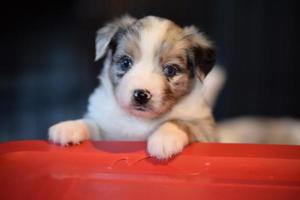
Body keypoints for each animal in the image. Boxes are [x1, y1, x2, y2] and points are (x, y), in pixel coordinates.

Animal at [49, 15, 218, 159]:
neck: (138, 120)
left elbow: (182, 123)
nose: (141, 95)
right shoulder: (109, 134)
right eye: (125, 62)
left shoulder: (206, 131)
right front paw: (69, 127)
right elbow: (92, 124)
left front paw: (164, 138)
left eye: (170, 70)